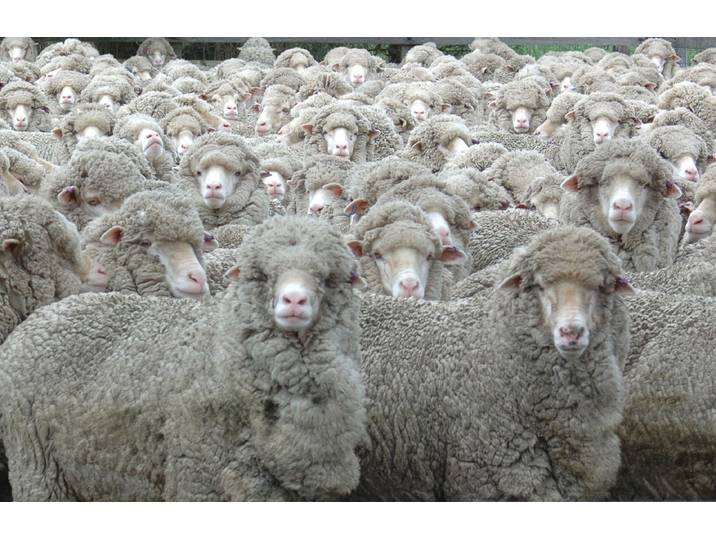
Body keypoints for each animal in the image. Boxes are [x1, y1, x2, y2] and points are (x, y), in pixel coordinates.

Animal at [0, 215, 368, 501]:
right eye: (261, 275)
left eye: (331, 278)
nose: (293, 301)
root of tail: (42, 316)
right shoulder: (198, 476)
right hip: (38, 465)